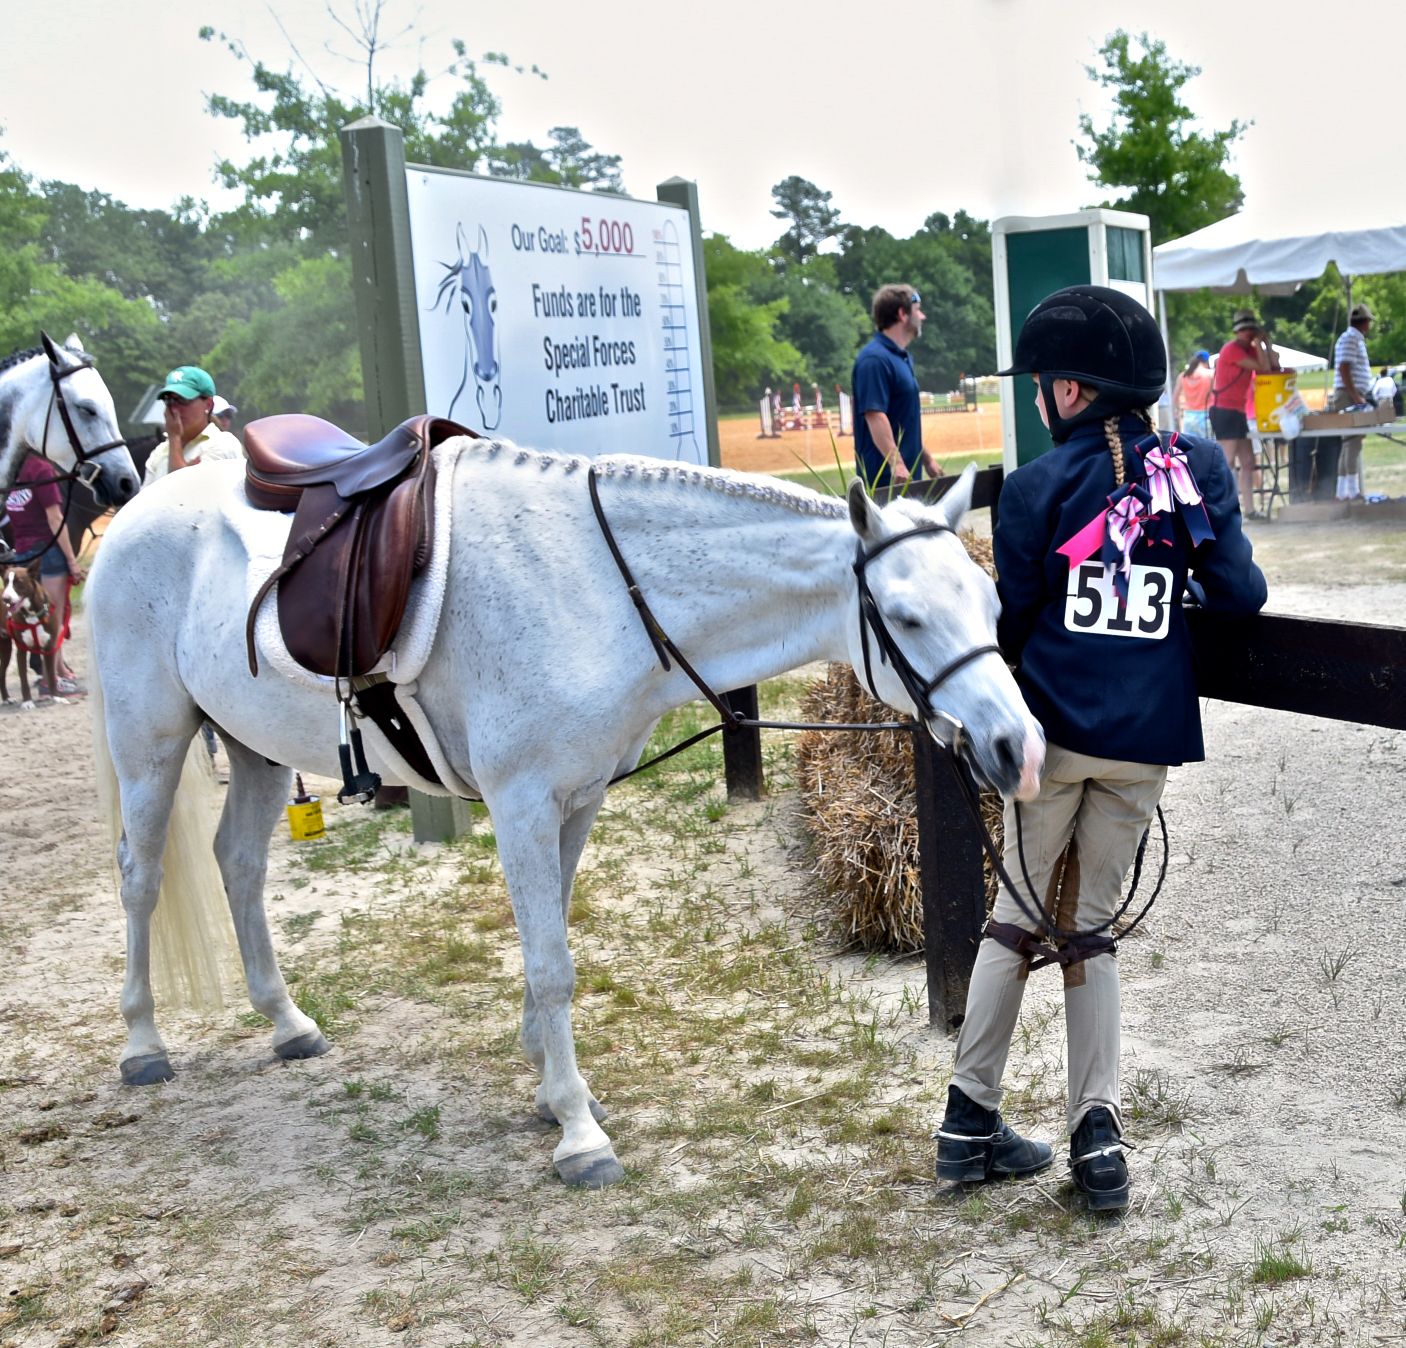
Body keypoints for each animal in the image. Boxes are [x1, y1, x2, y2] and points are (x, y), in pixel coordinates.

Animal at [1, 562, 67, 711]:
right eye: (6, 581)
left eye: (18, 582)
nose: (5, 599)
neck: (32, 614)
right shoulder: (21, 650)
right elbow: (23, 679)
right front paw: (27, 702)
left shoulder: (49, 648)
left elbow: (51, 675)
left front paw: (57, 697)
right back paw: (6, 698)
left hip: (6, 648)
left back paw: (6, 698)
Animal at [82, 438, 1040, 1186]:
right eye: (906, 617)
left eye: (992, 601)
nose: (1017, 749)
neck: (599, 588)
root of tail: (133, 513)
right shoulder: (521, 803)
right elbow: (551, 966)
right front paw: (580, 1133)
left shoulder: (574, 800)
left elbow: (553, 948)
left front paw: (549, 1090)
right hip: (151, 742)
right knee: (139, 877)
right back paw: (142, 1044)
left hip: (252, 749)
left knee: (238, 864)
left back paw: (287, 1024)